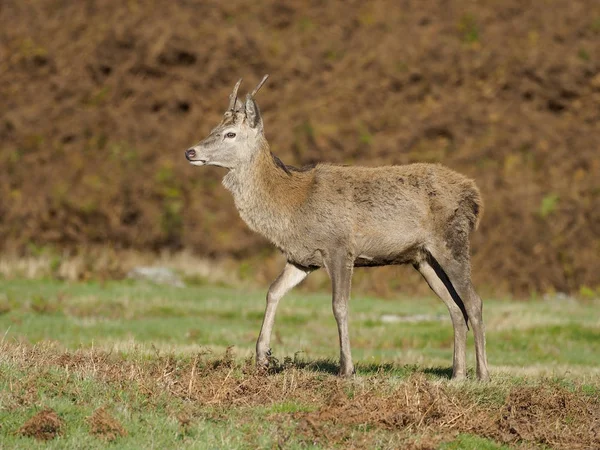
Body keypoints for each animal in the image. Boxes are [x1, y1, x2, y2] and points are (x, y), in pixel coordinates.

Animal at [185, 74, 490, 380]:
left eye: (230, 134)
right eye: (213, 128)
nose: (190, 151)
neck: (292, 206)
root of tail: (474, 196)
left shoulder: (339, 247)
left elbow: (339, 306)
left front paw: (347, 368)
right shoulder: (302, 258)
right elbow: (273, 291)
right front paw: (262, 358)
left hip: (452, 241)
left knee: (473, 302)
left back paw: (482, 373)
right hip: (423, 258)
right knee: (454, 306)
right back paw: (457, 374)